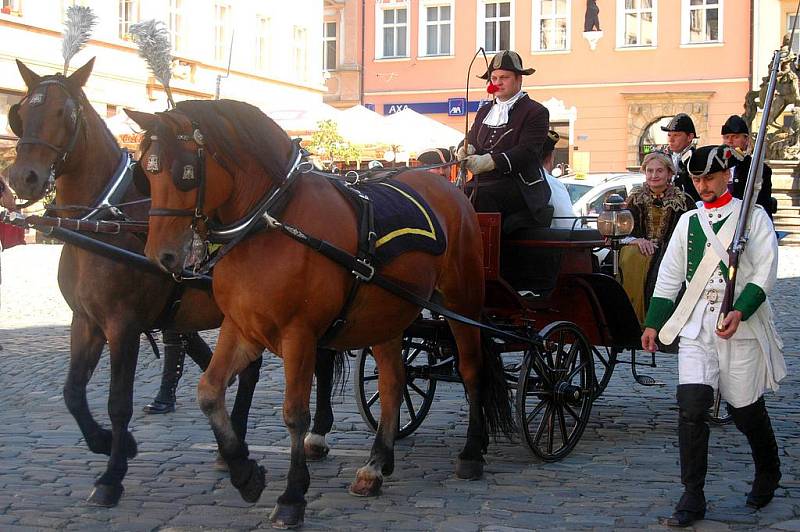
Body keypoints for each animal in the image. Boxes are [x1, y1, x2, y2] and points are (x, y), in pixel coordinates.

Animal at [6, 58, 342, 508]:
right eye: (23, 112)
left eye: (65, 113)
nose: (23, 177)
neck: (104, 222)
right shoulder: (86, 321)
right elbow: (73, 392)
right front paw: (107, 443)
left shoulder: (123, 325)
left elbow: (118, 402)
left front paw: (112, 474)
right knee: (249, 372)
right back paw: (234, 443)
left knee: (320, 360)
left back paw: (315, 432)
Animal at [125, 100, 512, 528]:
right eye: (146, 171)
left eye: (186, 173)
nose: (160, 257)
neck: (273, 221)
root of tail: (452, 187)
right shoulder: (241, 329)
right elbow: (209, 392)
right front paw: (244, 472)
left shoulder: (300, 337)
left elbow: (295, 413)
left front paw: (292, 495)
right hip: (387, 316)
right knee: (393, 383)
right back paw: (376, 464)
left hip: (462, 304)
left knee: (472, 370)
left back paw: (471, 452)